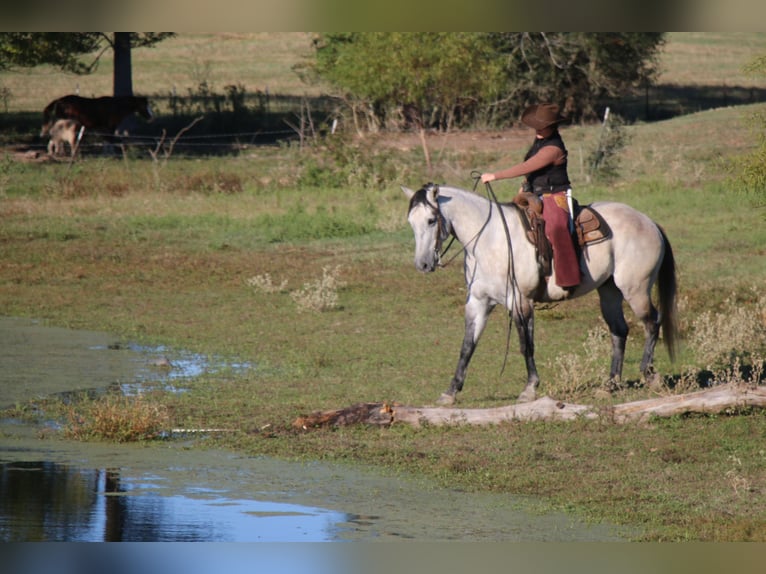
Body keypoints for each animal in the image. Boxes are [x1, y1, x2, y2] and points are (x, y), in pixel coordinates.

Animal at [402, 183, 678, 405]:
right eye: (411, 223)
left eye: (431, 220)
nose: (422, 264)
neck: (489, 240)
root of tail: (650, 223)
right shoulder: (478, 303)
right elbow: (467, 346)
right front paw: (450, 392)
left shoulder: (520, 301)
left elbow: (526, 345)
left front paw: (530, 389)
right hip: (609, 291)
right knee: (619, 331)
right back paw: (609, 385)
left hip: (636, 289)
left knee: (652, 322)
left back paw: (649, 374)